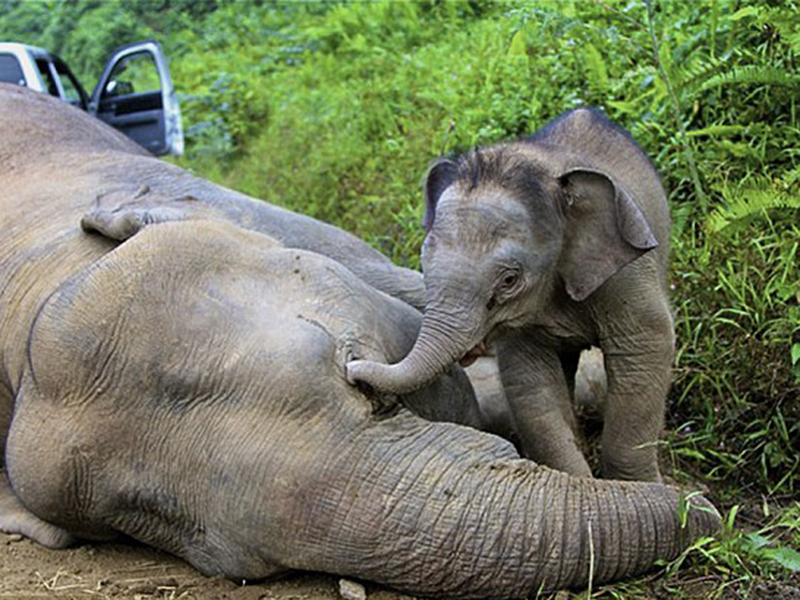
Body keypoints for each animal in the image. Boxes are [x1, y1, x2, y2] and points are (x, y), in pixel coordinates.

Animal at [347, 108, 673, 482]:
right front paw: (577, 482)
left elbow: (645, 350)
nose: (352, 370)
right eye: (423, 261)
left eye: (509, 279)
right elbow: (530, 381)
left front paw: (641, 486)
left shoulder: (626, 274)